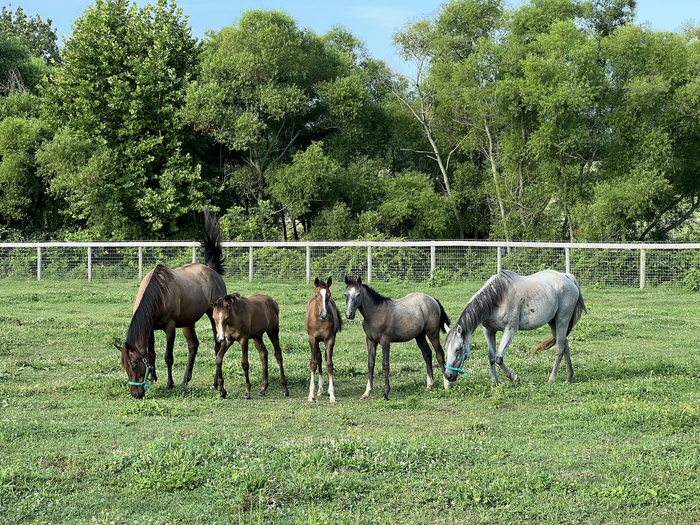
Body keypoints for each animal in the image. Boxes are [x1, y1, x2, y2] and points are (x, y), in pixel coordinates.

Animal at [115, 209, 224, 398]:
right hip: (188, 322)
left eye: (135, 366)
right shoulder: (150, 329)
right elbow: (151, 354)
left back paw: (215, 383)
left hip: (213, 315)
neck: (158, 295)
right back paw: (186, 380)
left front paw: (169, 384)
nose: (136, 394)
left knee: (217, 345)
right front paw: (154, 379)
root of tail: (212, 271)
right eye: (125, 367)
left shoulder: (170, 328)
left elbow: (168, 357)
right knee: (193, 346)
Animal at [304, 274, 342, 402]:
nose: (323, 314)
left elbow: (329, 364)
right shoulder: (312, 339)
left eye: (329, 295)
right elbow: (313, 363)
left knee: (324, 357)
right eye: (317, 295)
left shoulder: (330, 339)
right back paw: (319, 389)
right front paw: (311, 395)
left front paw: (332, 394)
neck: (320, 321)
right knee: (319, 358)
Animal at [442, 270, 584, 384]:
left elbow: (499, 358)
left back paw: (551, 380)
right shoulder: (489, 331)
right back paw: (569, 377)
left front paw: (514, 377)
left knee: (559, 348)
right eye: (446, 348)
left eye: (458, 349)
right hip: (553, 323)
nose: (448, 375)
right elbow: (491, 358)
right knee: (565, 344)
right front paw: (495, 383)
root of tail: (567, 277)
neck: (497, 297)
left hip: (561, 320)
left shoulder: (510, 330)